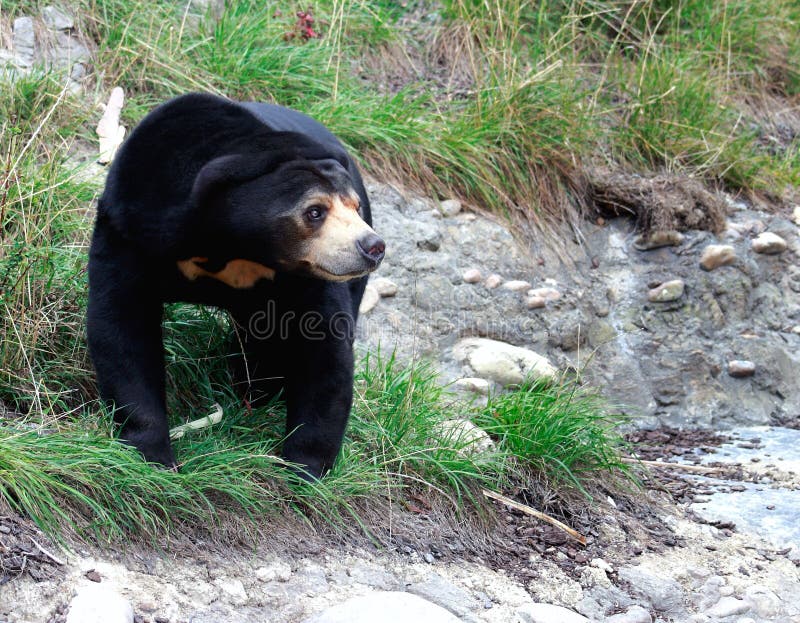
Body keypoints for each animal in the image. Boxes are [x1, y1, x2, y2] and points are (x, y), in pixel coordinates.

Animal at [86, 92, 384, 480]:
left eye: (354, 206)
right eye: (315, 211)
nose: (372, 246)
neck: (229, 244)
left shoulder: (304, 274)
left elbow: (322, 343)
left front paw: (304, 467)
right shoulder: (129, 229)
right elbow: (122, 326)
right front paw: (153, 455)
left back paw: (257, 391)